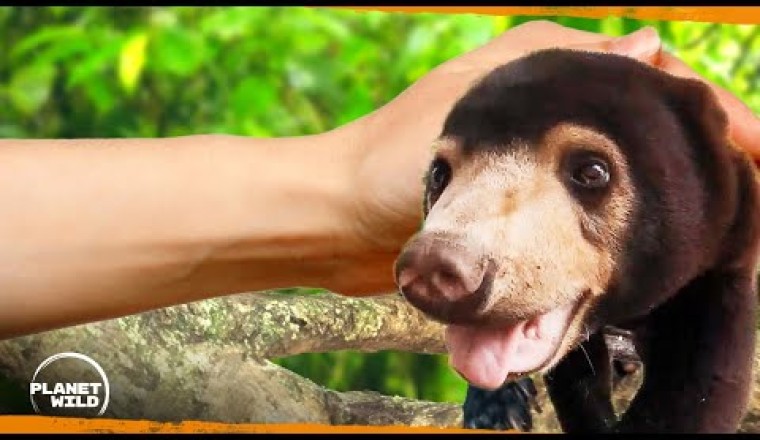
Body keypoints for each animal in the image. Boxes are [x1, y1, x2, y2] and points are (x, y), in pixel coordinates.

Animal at [393, 48, 760, 433]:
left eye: (593, 171)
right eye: (439, 173)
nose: (432, 263)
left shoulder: (729, 244)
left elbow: (705, 378)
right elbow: (575, 376)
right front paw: (496, 406)